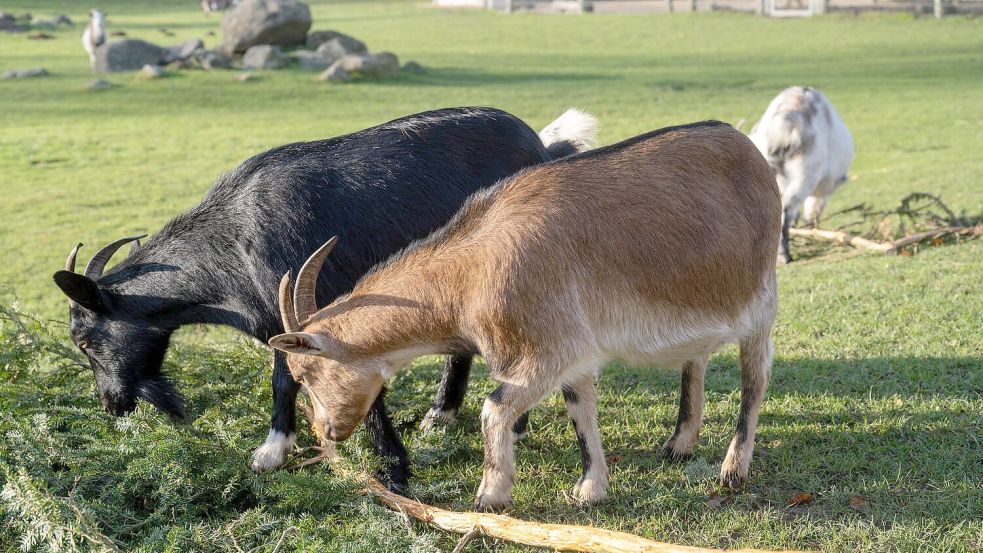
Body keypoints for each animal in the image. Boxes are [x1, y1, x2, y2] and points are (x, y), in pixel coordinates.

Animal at [52, 107, 598, 491]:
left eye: (86, 341)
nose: (112, 404)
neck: (233, 240)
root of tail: (543, 147)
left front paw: (392, 469)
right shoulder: (282, 321)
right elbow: (284, 381)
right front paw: (276, 450)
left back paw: (509, 423)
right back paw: (441, 416)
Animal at [268, 121, 781, 511]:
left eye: (307, 371)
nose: (327, 430)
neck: (470, 272)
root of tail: (748, 149)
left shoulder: (545, 350)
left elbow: (494, 409)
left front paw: (490, 496)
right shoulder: (573, 351)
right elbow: (581, 410)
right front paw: (591, 490)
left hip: (760, 303)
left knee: (754, 380)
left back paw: (733, 470)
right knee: (696, 361)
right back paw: (679, 444)